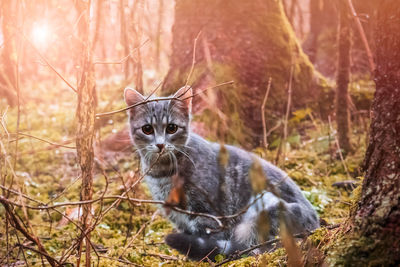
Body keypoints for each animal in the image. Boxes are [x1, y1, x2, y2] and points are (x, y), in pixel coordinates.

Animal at [124, 86, 318, 262]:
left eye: (171, 128)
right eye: (147, 129)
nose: (160, 144)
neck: (162, 173)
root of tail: (316, 223)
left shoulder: (208, 214)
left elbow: (208, 239)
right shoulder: (179, 218)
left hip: (261, 209)